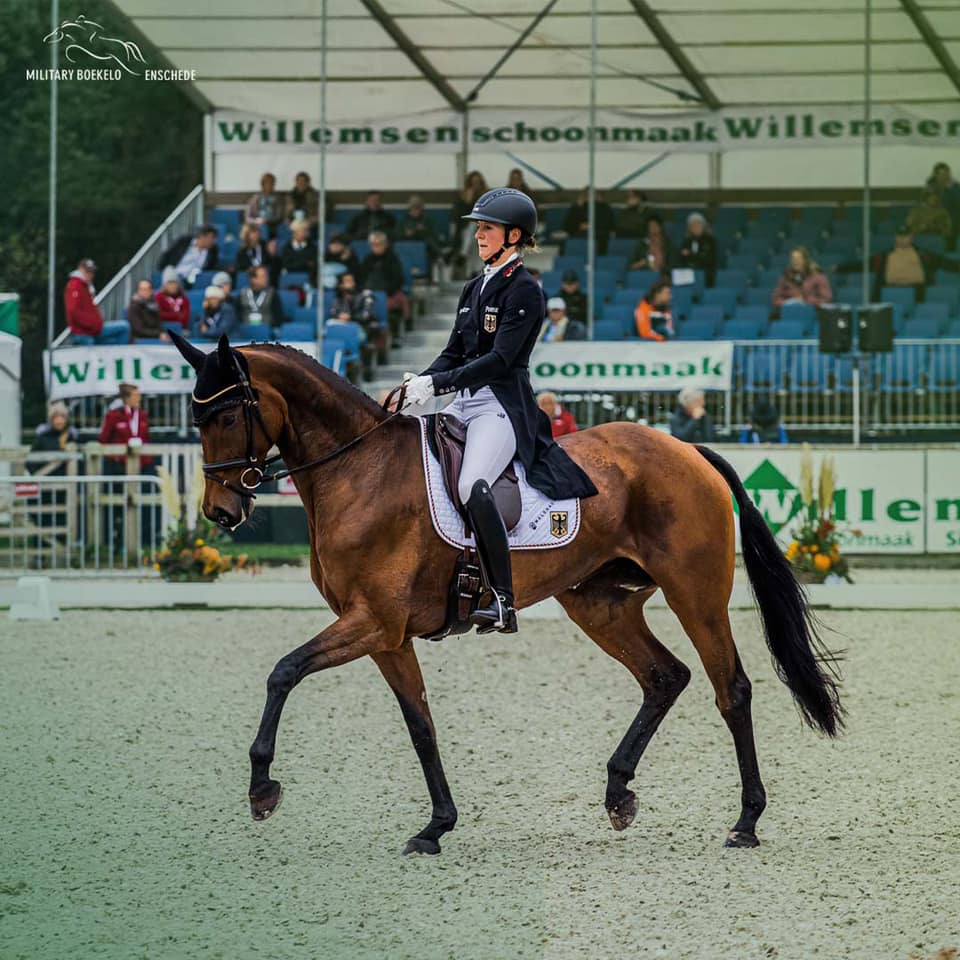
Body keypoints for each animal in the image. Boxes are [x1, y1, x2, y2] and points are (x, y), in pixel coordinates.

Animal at [172, 338, 840, 856]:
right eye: (197, 420)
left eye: (226, 416)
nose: (220, 512)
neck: (359, 470)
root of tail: (683, 448)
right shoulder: (385, 635)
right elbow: (420, 725)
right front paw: (436, 827)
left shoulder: (372, 622)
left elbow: (283, 672)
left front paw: (261, 787)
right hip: (599, 603)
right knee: (664, 677)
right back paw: (618, 792)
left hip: (694, 594)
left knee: (732, 689)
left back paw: (746, 821)